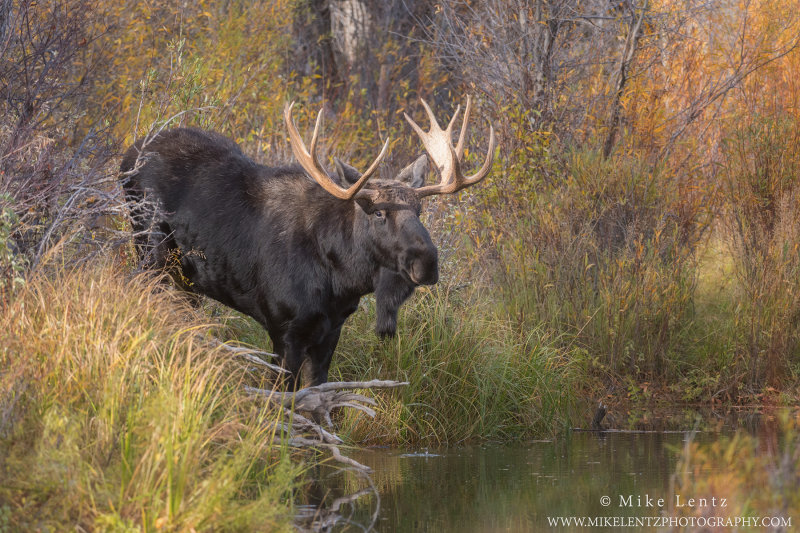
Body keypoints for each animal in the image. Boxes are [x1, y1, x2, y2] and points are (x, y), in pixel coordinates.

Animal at [120, 96, 494, 386]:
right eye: (378, 213)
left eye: (420, 209)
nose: (427, 262)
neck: (342, 281)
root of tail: (127, 155)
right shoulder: (284, 330)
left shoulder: (330, 332)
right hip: (150, 254)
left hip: (184, 281)